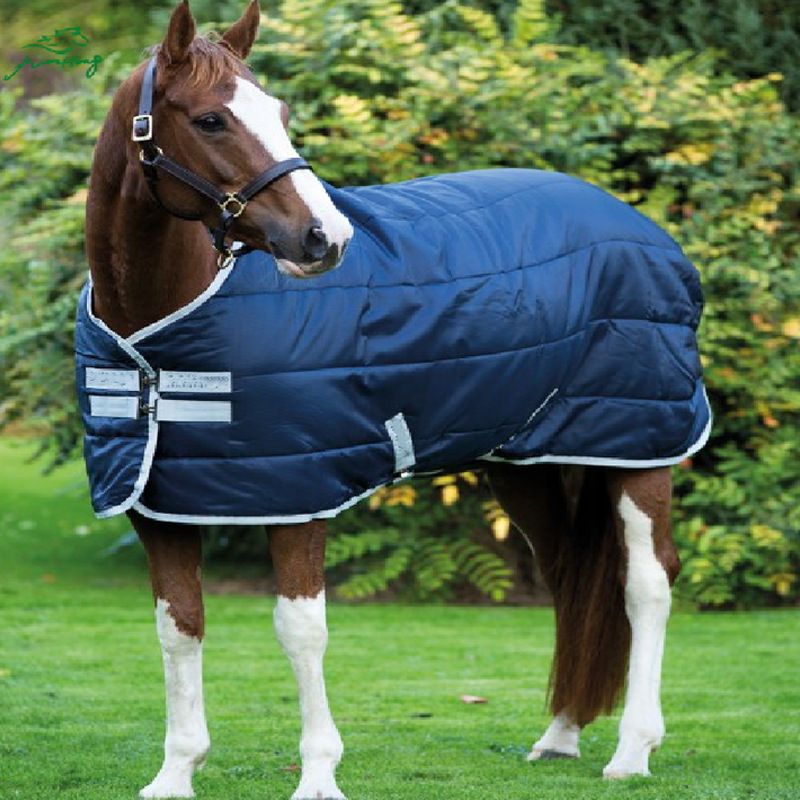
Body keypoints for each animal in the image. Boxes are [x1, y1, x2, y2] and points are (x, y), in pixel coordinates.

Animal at [81, 2, 706, 797]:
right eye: (212, 120)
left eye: (280, 113)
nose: (324, 238)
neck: (157, 338)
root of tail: (642, 227)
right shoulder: (158, 506)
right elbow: (179, 626)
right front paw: (176, 772)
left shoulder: (298, 494)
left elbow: (301, 629)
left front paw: (319, 775)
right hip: (528, 462)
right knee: (570, 575)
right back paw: (561, 735)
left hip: (639, 446)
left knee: (647, 581)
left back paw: (632, 750)